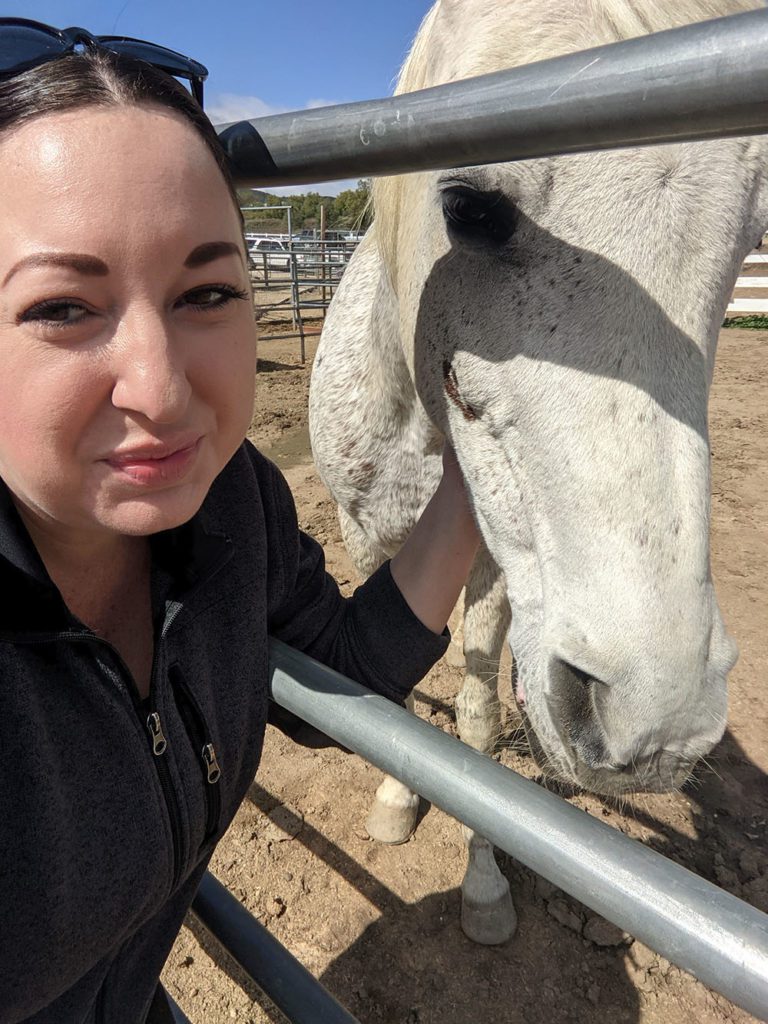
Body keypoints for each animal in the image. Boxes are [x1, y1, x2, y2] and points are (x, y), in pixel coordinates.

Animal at [309, 0, 768, 942]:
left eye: (751, 238)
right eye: (472, 209)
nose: (652, 719)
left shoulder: (489, 567)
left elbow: (478, 712)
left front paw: (484, 882)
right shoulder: (362, 536)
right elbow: (387, 685)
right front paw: (395, 800)